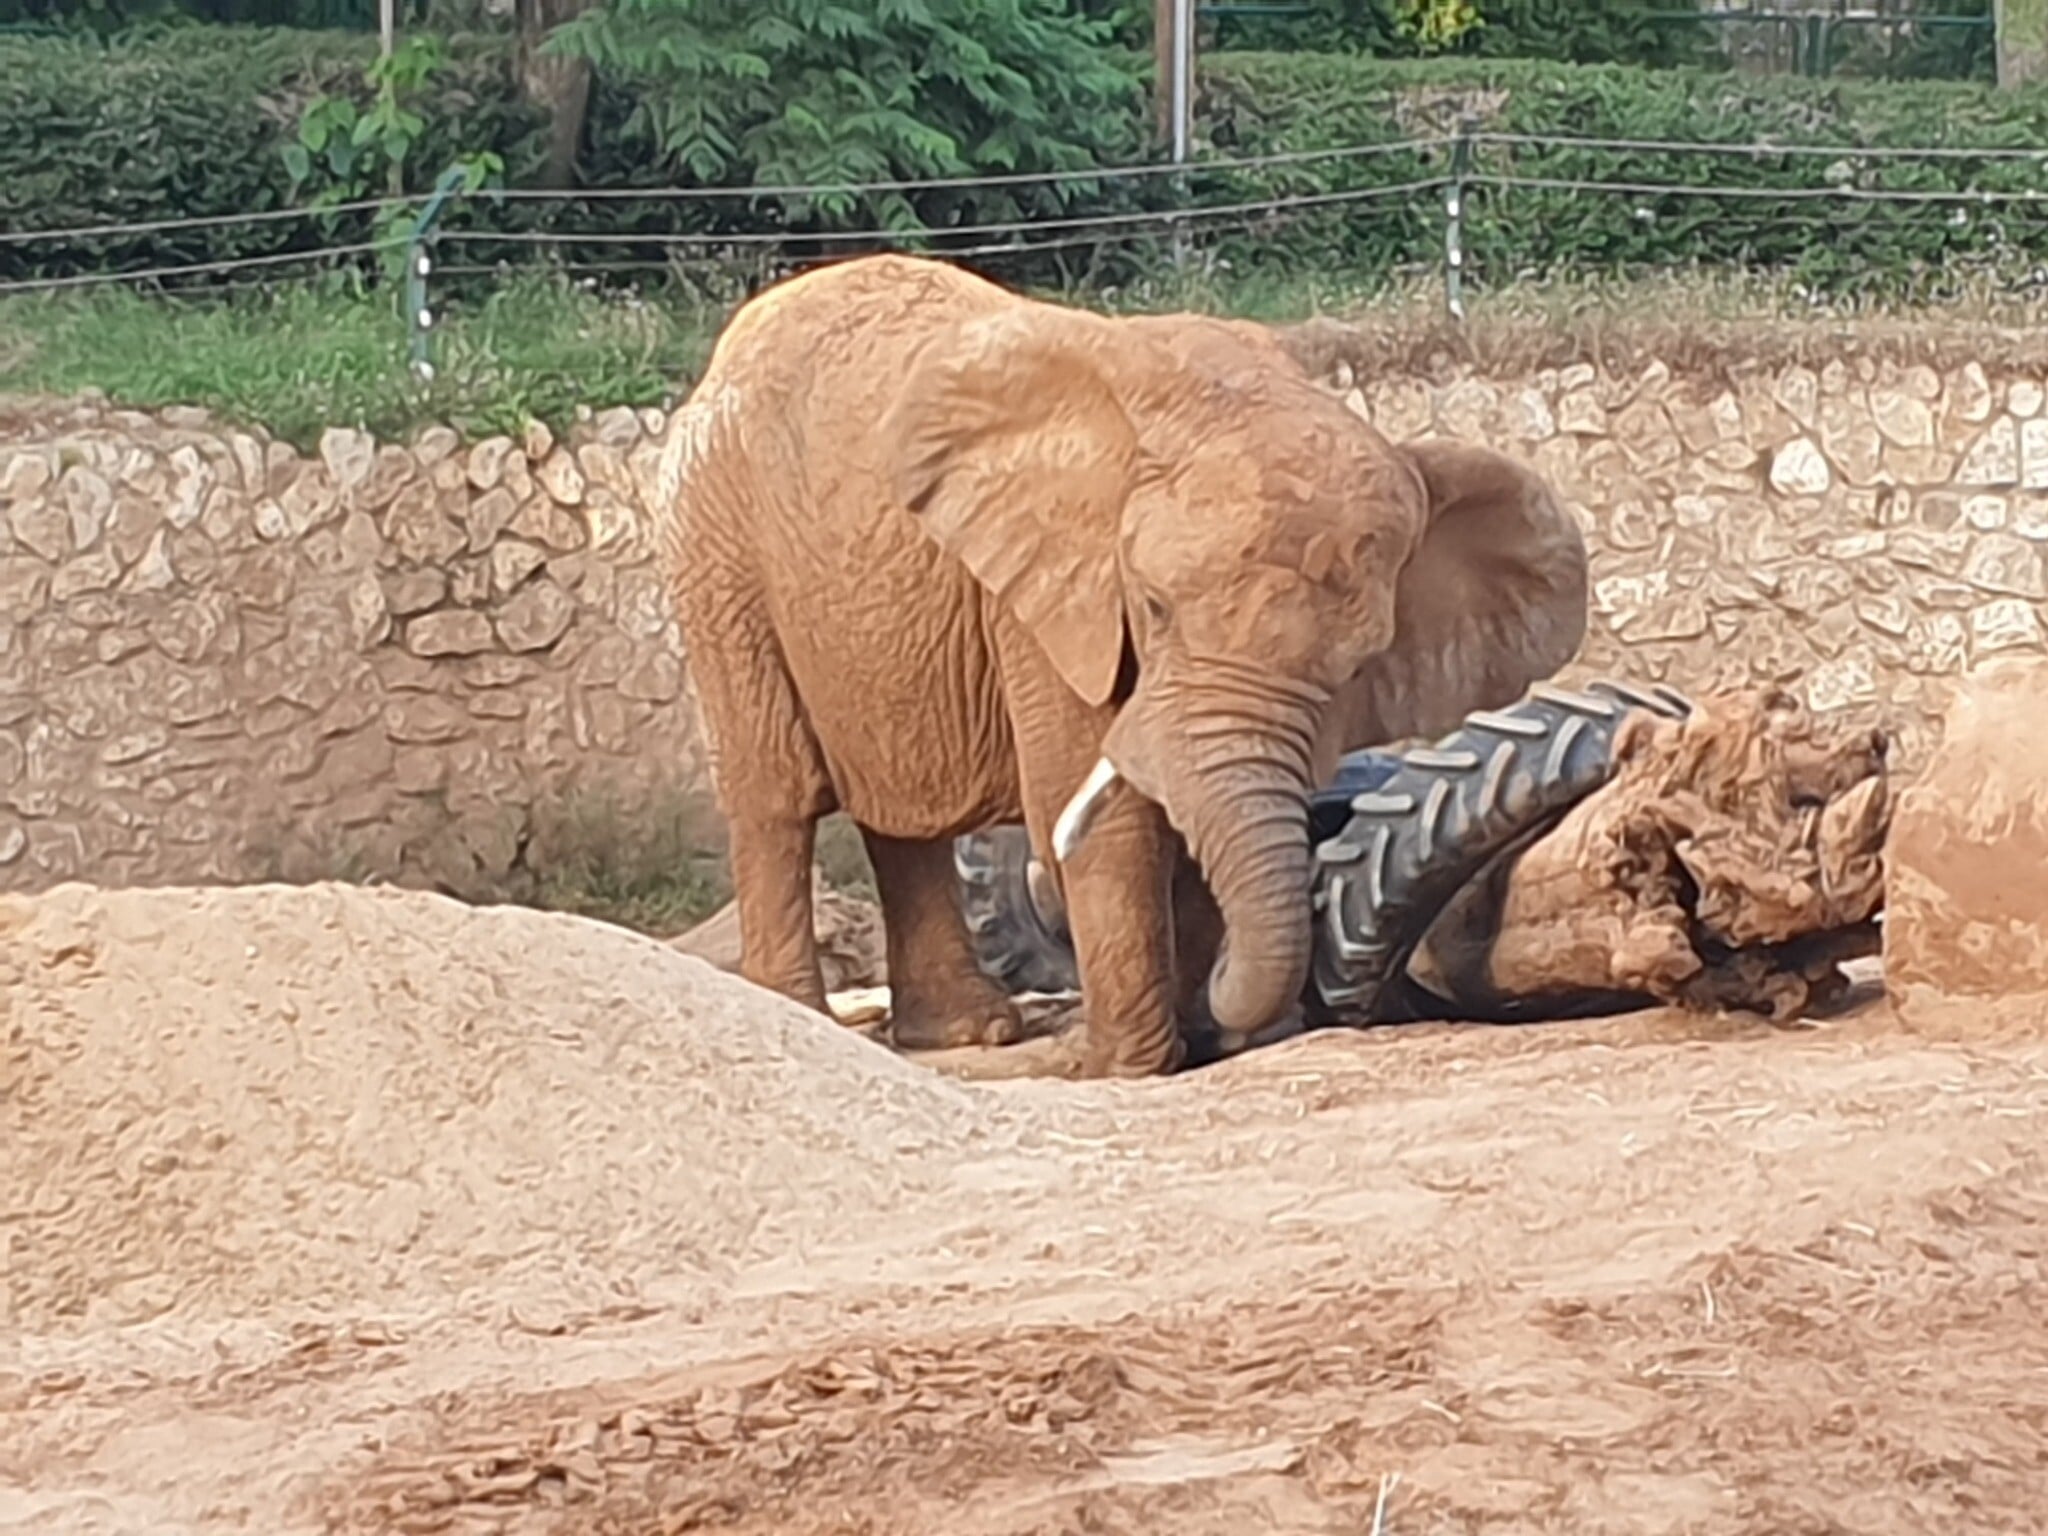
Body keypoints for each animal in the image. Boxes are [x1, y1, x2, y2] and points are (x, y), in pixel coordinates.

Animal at [655, 252, 1588, 1077]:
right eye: (1155, 609)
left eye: (1356, 668)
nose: (1232, 1003)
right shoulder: (1056, 591)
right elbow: (1108, 818)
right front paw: (1132, 1064)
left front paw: (1211, 1044)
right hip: (717, 541)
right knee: (777, 793)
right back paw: (802, 1016)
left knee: (901, 801)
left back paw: (971, 1033)